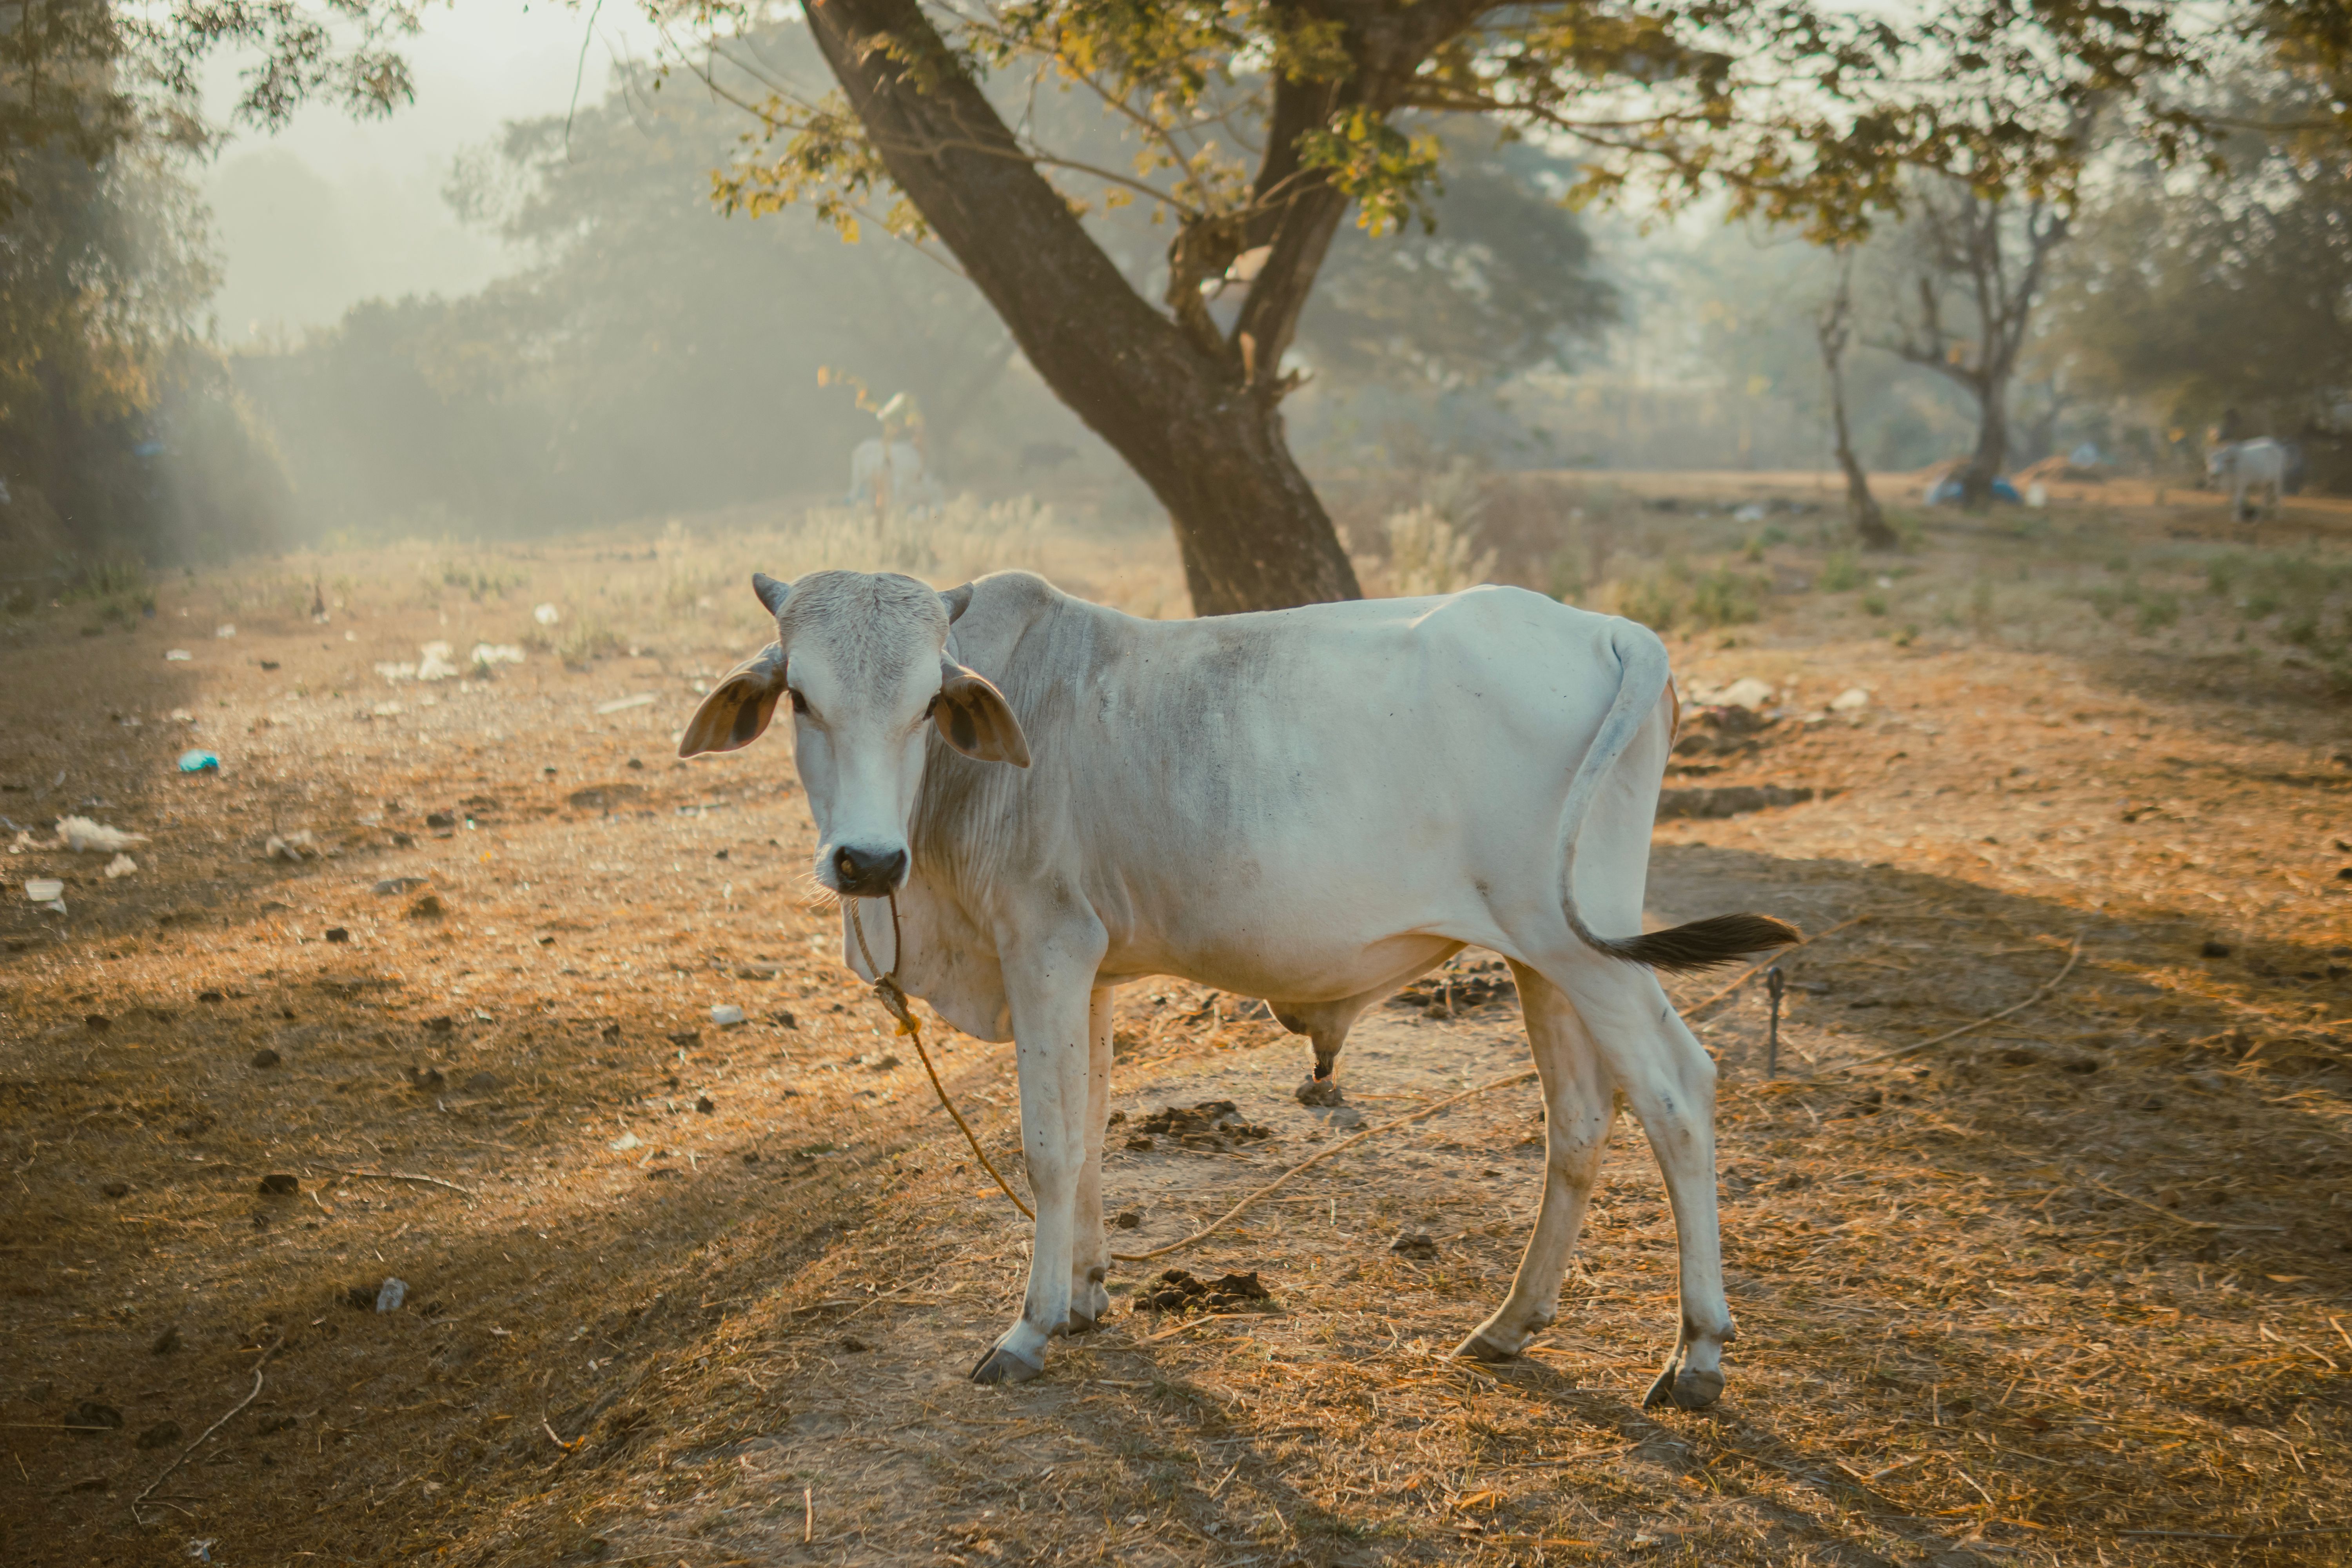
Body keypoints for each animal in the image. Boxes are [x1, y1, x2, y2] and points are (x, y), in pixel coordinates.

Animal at [679, 569, 1800, 1408]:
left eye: (924, 706)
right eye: (804, 698)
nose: (867, 861)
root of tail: (1615, 632)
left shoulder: (1044, 948)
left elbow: (1048, 1147)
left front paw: (1029, 1326)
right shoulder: (1090, 972)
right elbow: (1091, 1132)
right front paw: (1085, 1294)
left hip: (1589, 949)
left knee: (1679, 1096)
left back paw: (1697, 1352)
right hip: (1542, 958)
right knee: (1580, 1120)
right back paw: (1510, 1323)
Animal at [2208, 439, 2287, 523]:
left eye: (2224, 460)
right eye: (2212, 460)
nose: (2215, 473)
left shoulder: (2241, 486)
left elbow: (2238, 501)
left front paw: (2236, 519)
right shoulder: (2232, 488)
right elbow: (2233, 501)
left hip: (2277, 480)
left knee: (2278, 495)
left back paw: (2278, 516)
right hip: (2266, 484)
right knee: (2265, 497)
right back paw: (2258, 517)